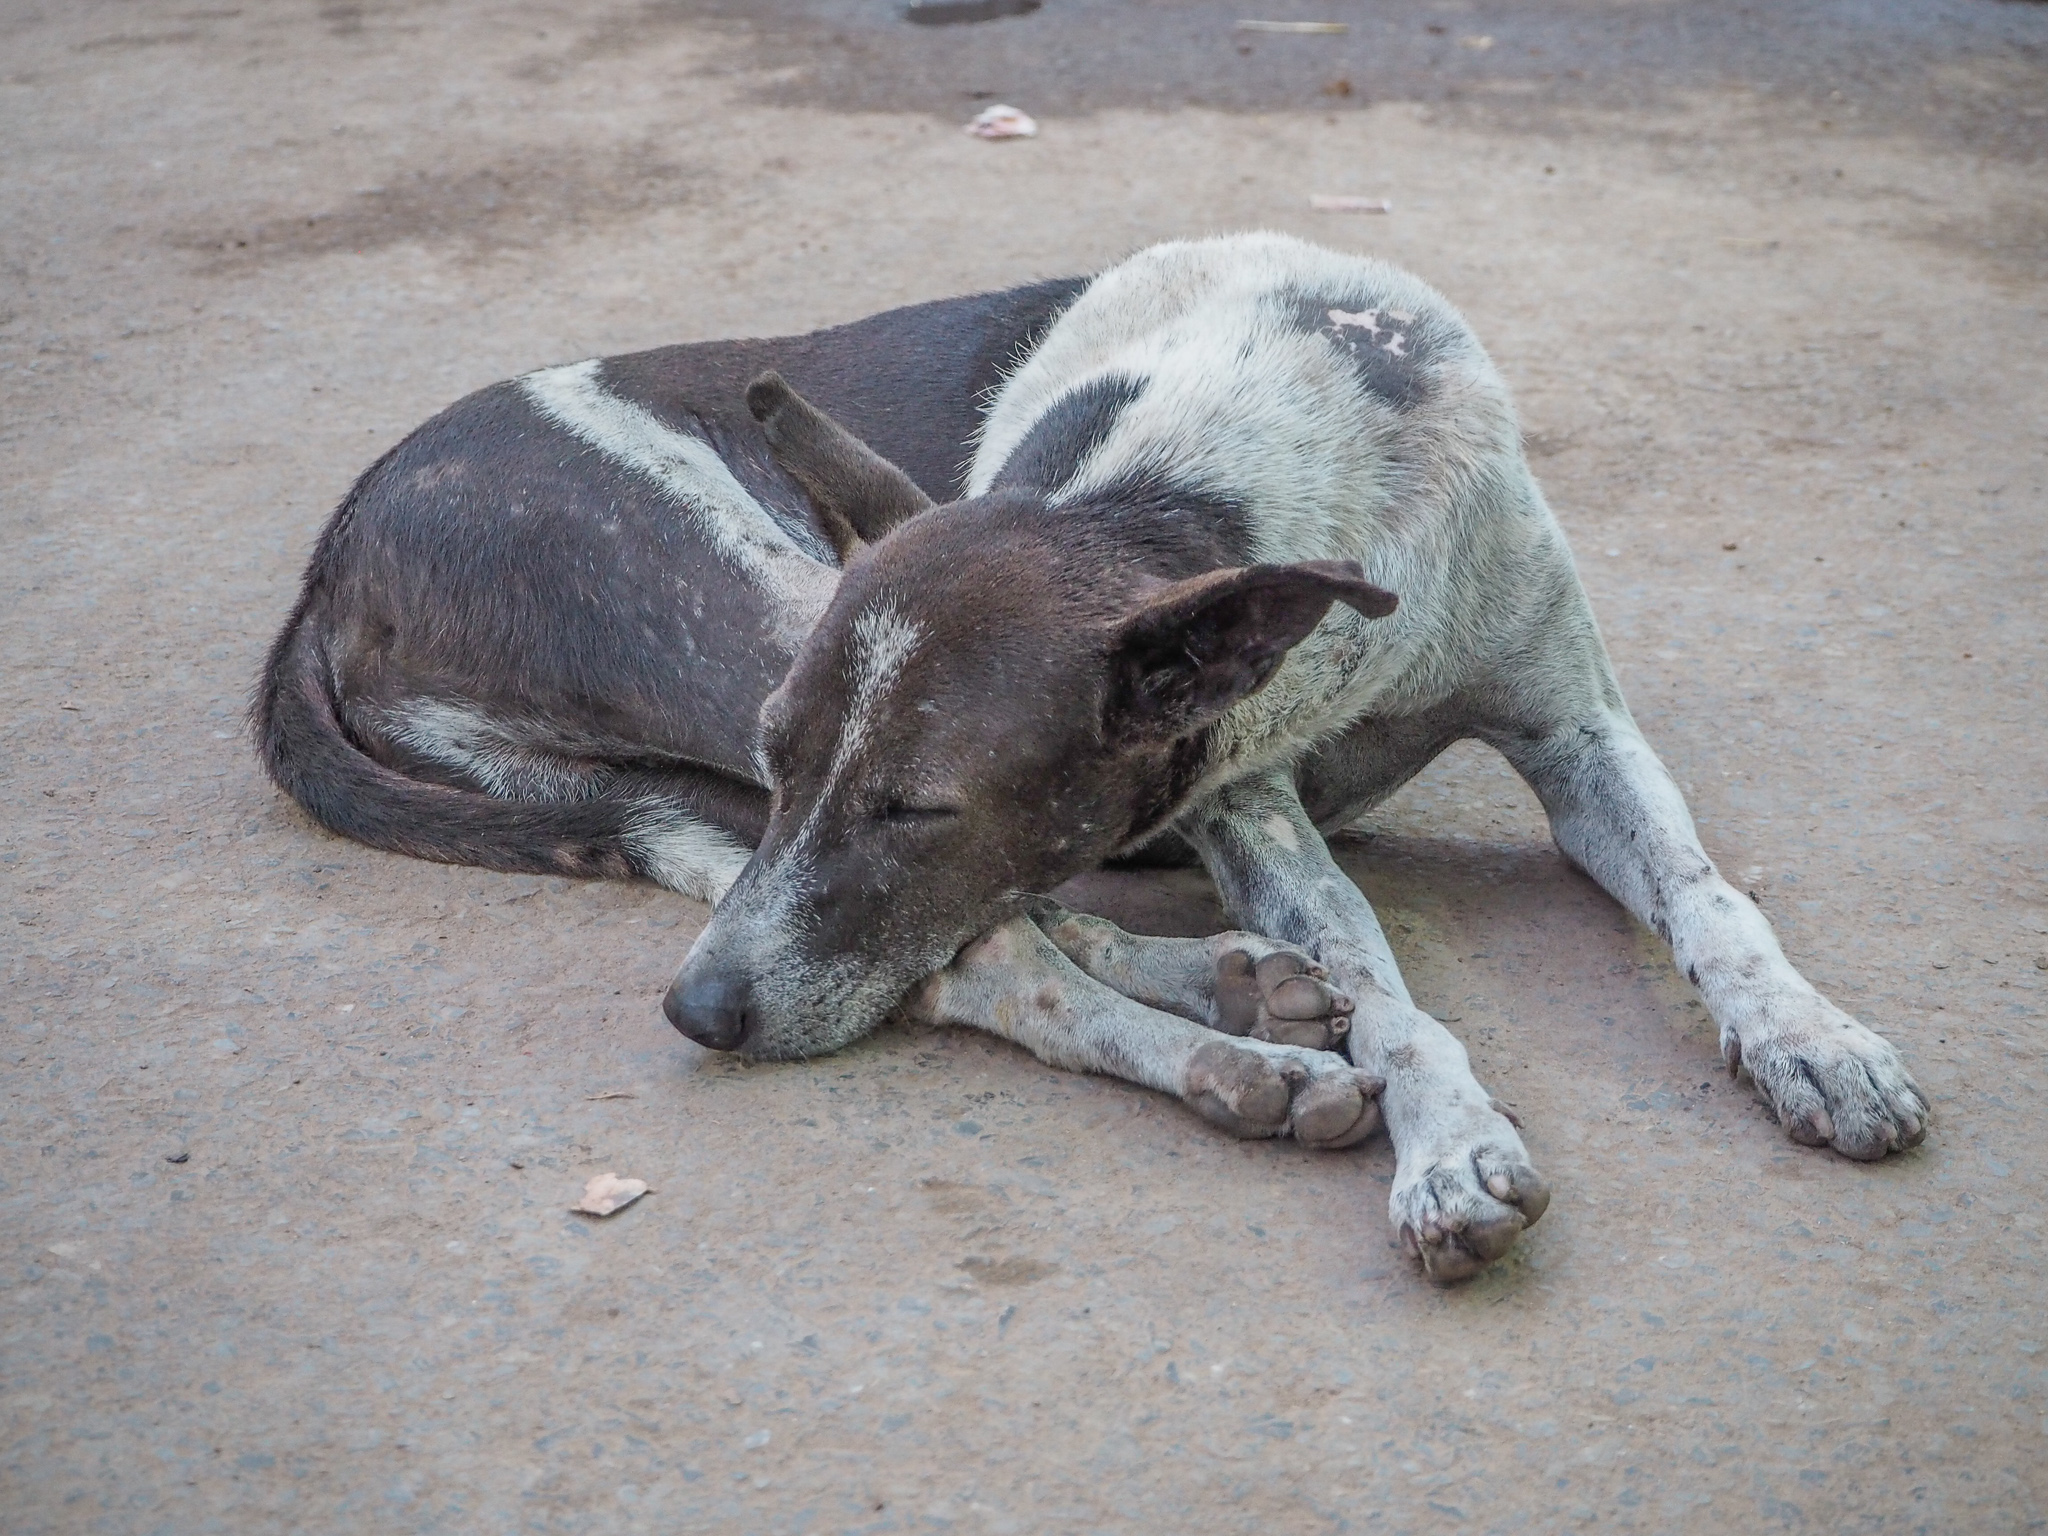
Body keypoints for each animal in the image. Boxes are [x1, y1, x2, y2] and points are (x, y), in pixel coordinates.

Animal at [260, 234, 1933, 1277]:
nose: (695, 1019)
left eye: (918, 804)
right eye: (787, 755)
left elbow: (1709, 897)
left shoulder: (1577, 725)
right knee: (973, 958)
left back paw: (1226, 996)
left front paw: (1813, 1038)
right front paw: (1448, 1142)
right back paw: (1236, 1048)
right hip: (746, 606)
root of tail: (328, 564)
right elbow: (1383, 986)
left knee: (954, 923)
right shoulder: (1238, 793)